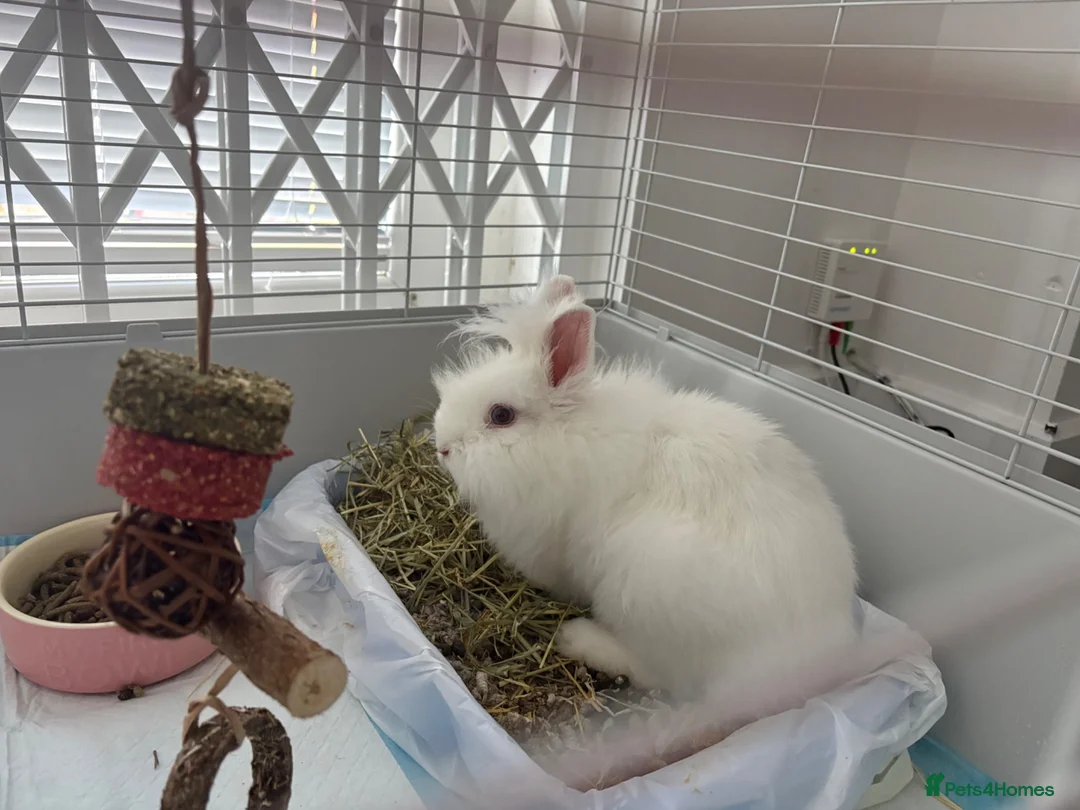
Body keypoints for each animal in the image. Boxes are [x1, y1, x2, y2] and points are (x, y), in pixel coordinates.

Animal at [431, 274, 859, 701]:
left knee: (657, 673)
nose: (442, 447)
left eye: (501, 415)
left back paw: (578, 638)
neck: (564, 437)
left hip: (640, 587)